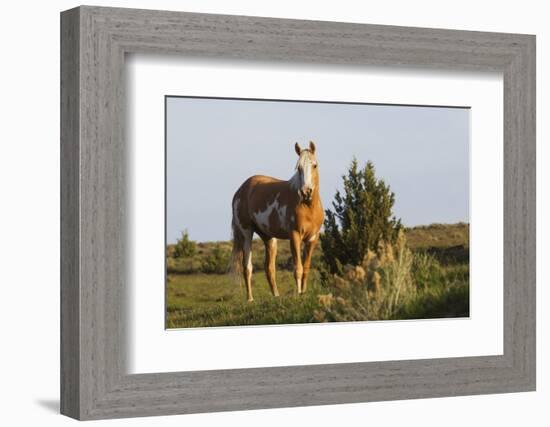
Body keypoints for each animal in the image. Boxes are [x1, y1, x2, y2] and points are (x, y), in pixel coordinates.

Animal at [232, 140, 326, 300]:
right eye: (298, 168)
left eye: (315, 165)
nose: (306, 191)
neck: (308, 207)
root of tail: (241, 190)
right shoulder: (294, 236)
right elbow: (298, 268)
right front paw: (298, 294)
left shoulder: (312, 239)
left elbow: (306, 268)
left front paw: (304, 293)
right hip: (246, 233)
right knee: (247, 267)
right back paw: (250, 299)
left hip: (269, 238)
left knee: (269, 268)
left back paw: (276, 296)